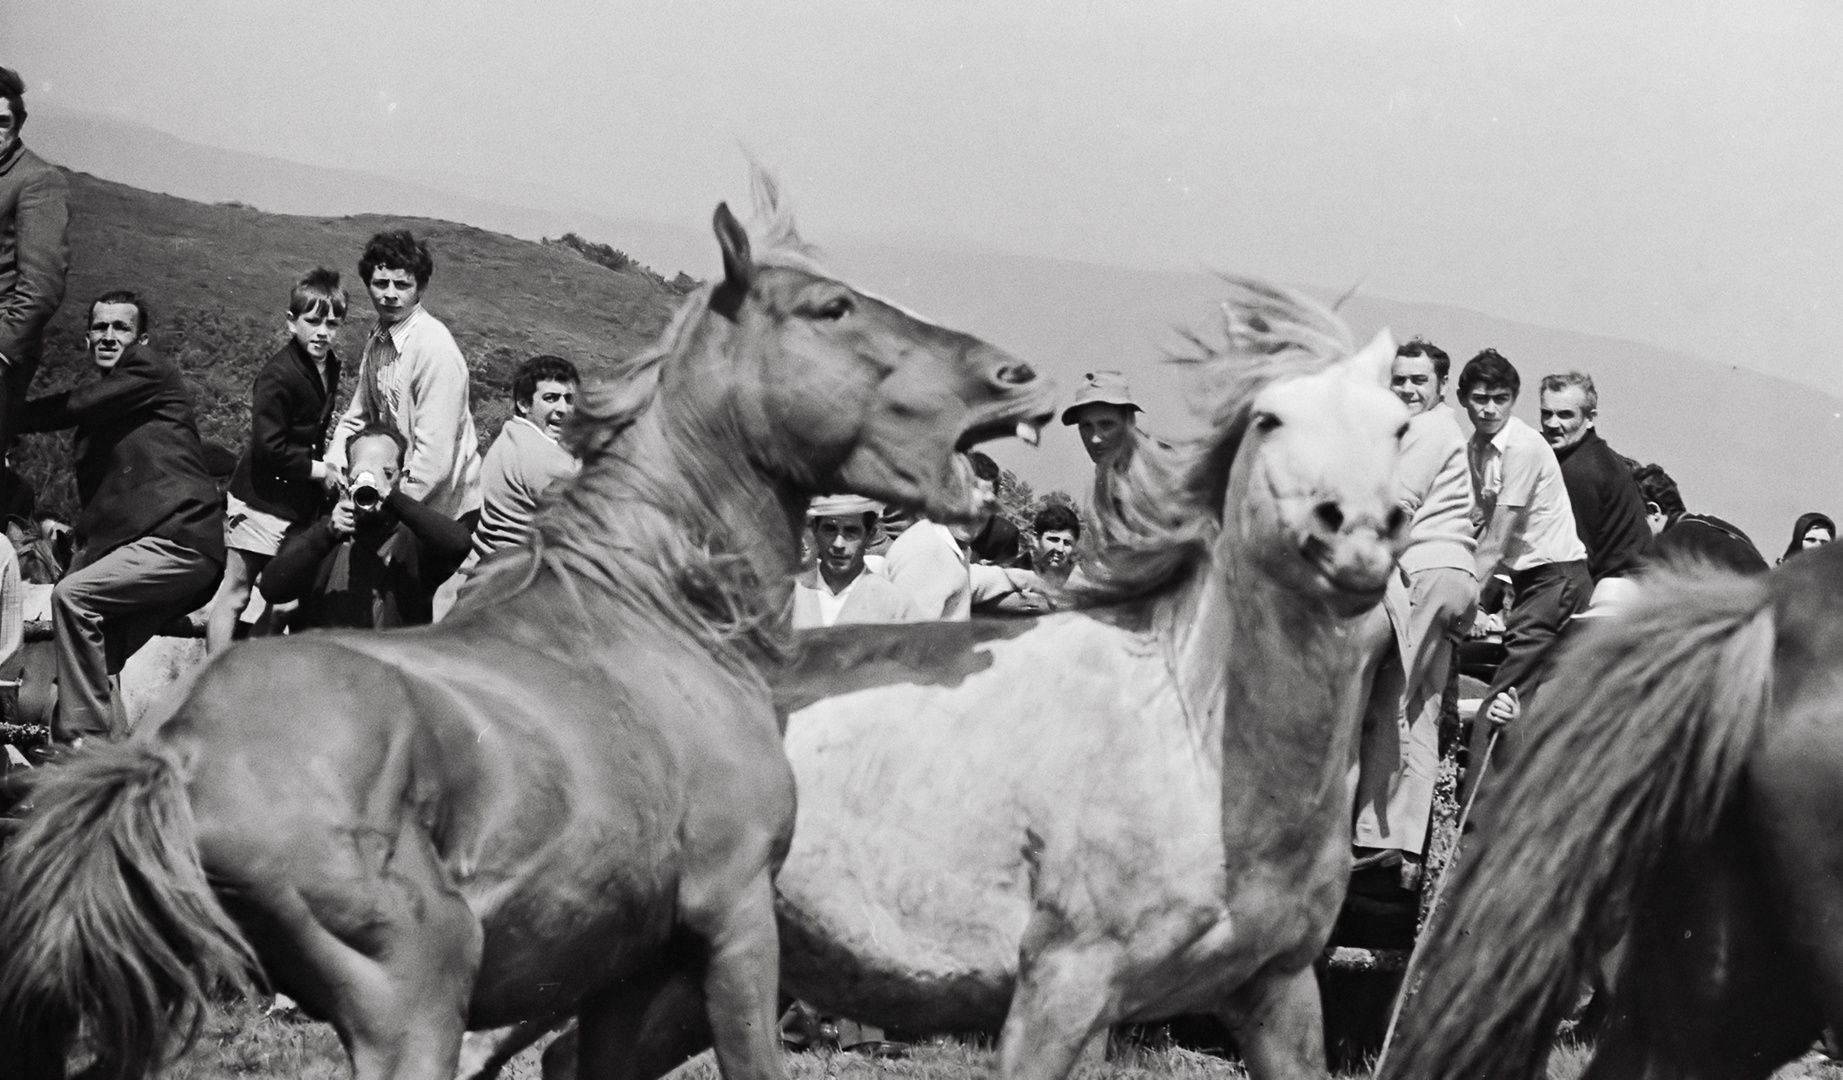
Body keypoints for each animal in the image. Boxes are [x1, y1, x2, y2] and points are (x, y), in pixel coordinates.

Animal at [0, 187, 1054, 1076]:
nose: (1016, 375)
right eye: (830, 309)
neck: (657, 621)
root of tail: (169, 758)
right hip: (414, 994)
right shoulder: (735, 917)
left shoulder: (629, 978)